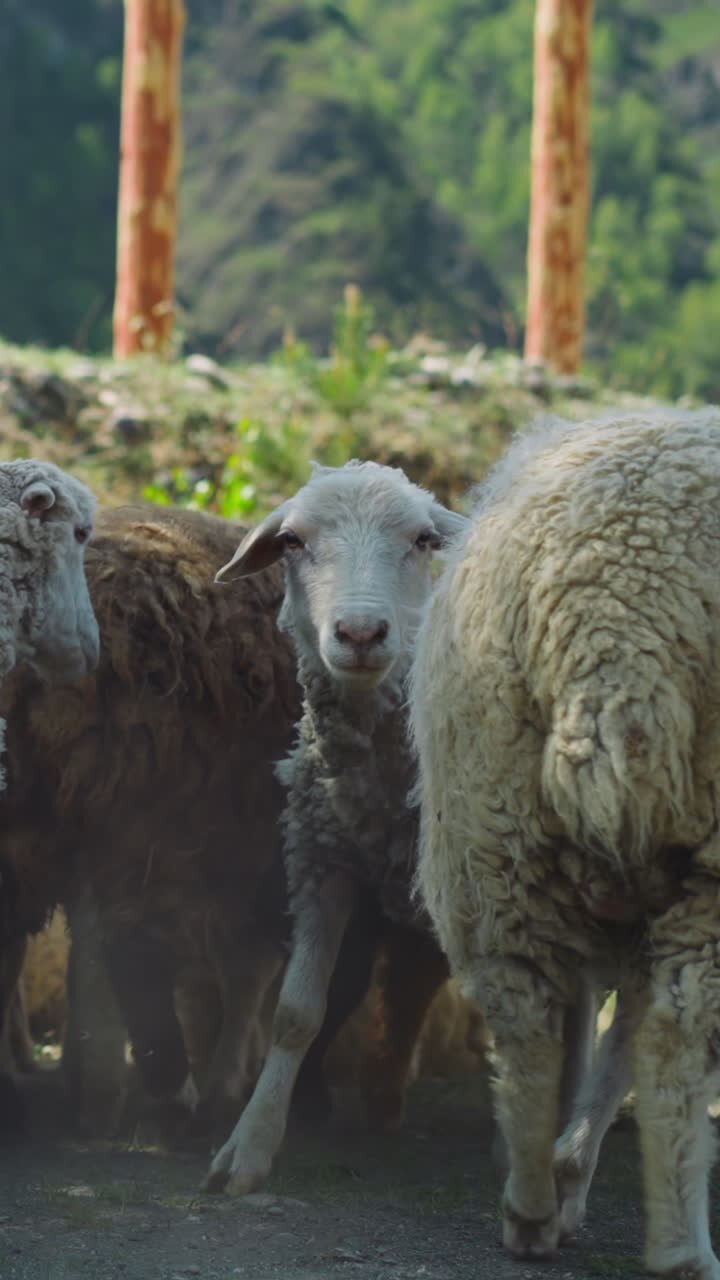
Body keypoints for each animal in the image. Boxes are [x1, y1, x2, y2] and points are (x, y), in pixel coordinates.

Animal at [204, 459, 468, 1195]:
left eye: (424, 540)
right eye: (292, 542)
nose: (360, 634)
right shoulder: (324, 860)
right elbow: (298, 1012)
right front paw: (250, 1146)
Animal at [410, 407, 720, 1278]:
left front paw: (571, 1172)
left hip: (489, 815)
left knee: (529, 1022)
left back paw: (535, 1209)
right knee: (673, 1035)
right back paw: (677, 1246)